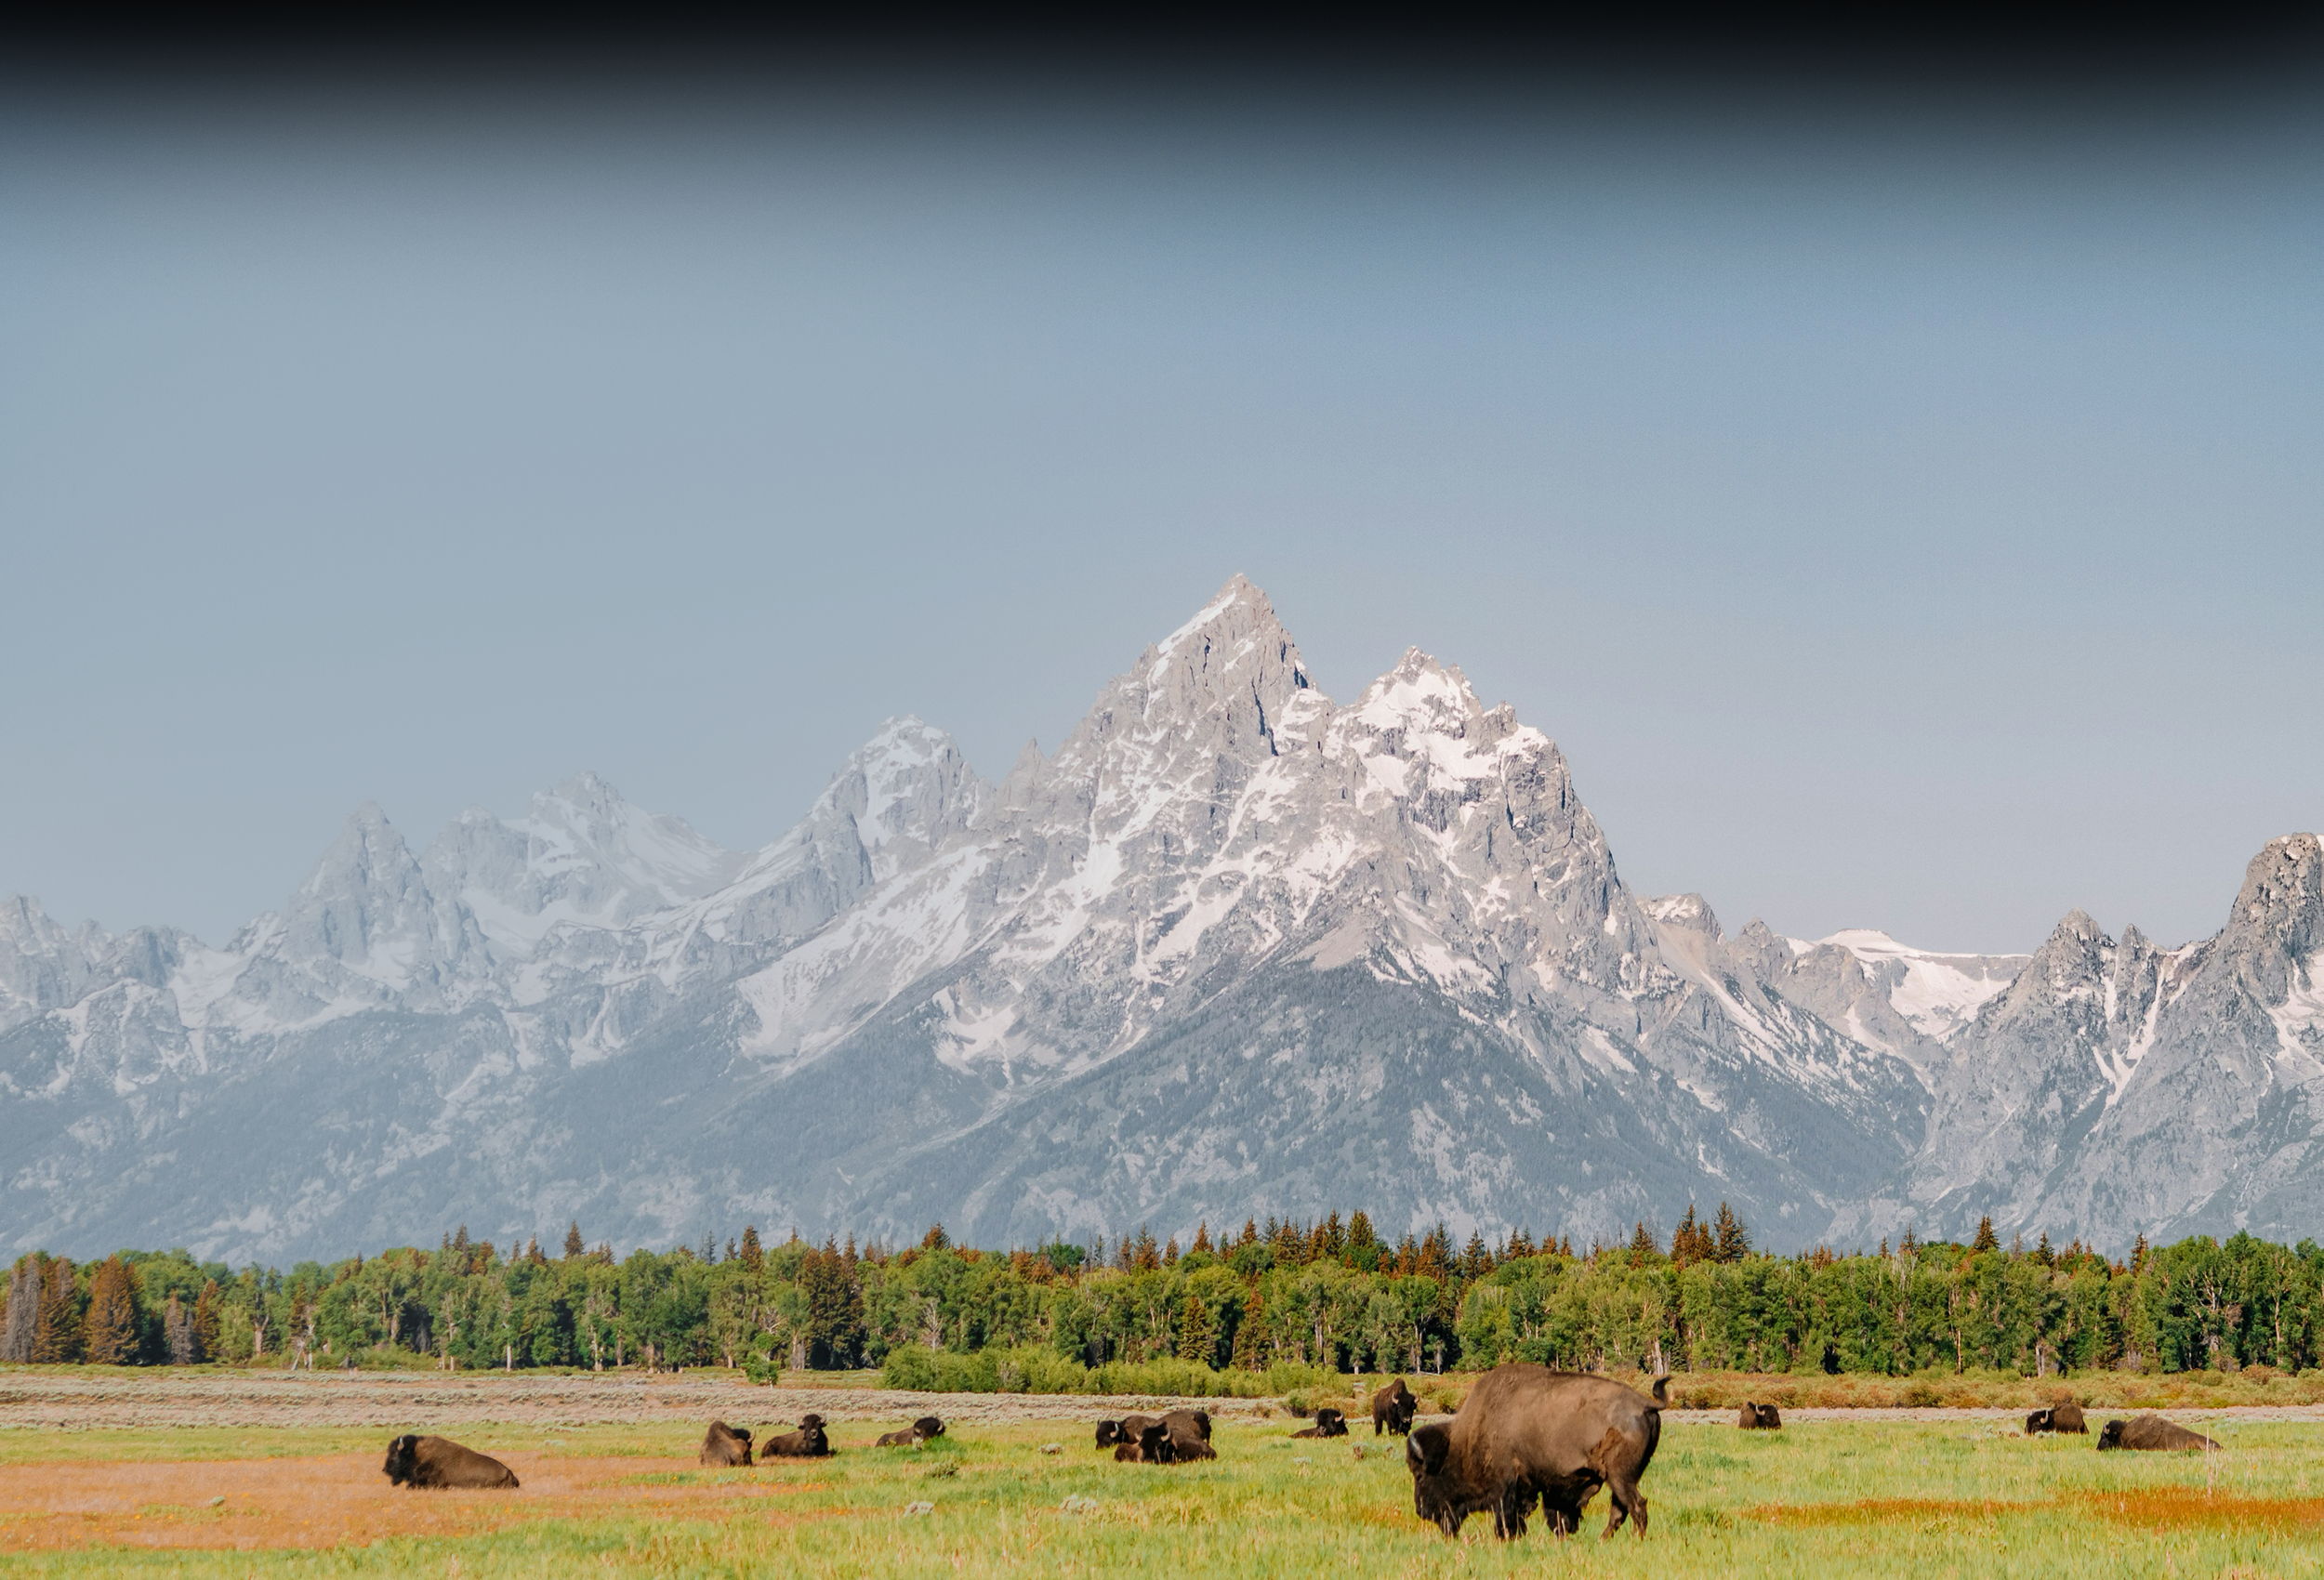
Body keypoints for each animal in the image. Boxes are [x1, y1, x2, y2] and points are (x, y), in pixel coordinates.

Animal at [1405, 1364, 1666, 1541]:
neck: (1465, 1440)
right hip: (1620, 1478)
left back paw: (1634, 1539)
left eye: (1420, 1475)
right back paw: (1603, 1540)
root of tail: (1645, 1403)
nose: (1421, 1510)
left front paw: (1507, 1537)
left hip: (1620, 1476)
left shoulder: (1506, 1487)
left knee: (1635, 1505)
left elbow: (1507, 1516)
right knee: (1620, 1509)